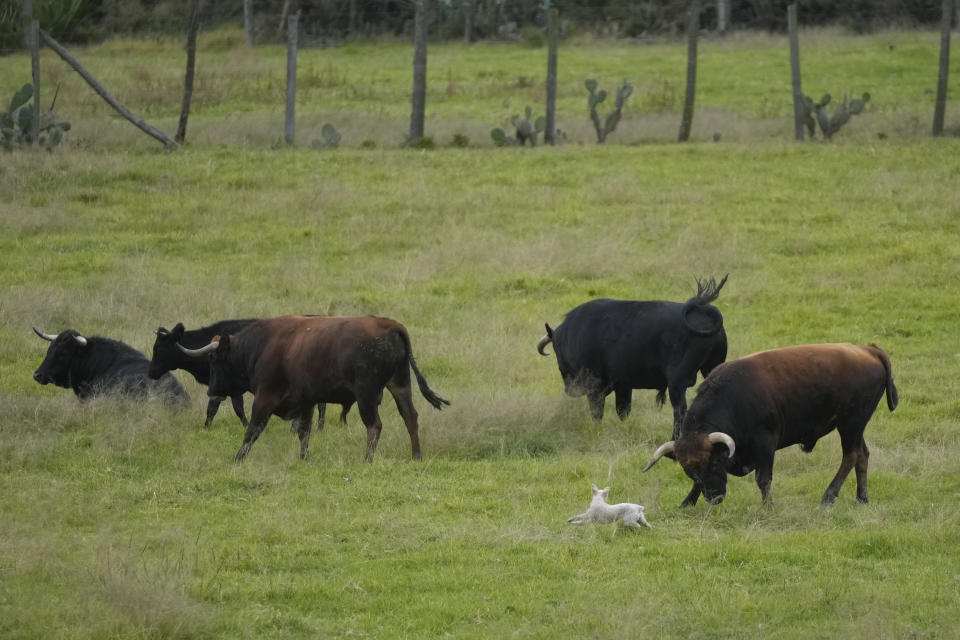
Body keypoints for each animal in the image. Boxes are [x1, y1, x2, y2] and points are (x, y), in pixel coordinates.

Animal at [180, 314, 450, 460]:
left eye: (214, 359)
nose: (211, 391)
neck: (260, 346)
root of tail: (391, 325)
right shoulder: (306, 401)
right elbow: (304, 431)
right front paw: (304, 457)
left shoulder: (265, 398)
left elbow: (253, 429)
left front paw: (238, 458)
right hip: (400, 384)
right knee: (410, 416)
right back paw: (416, 455)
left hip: (367, 394)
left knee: (374, 425)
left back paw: (367, 459)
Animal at [540, 272, 728, 438]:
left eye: (557, 349)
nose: (570, 389)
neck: (574, 333)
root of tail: (702, 308)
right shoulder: (623, 386)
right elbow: (623, 410)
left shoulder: (596, 388)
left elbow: (597, 412)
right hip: (710, 369)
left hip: (676, 382)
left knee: (680, 409)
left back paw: (675, 438)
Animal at [644, 342, 900, 508]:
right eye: (689, 472)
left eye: (715, 464)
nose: (715, 498)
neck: (733, 397)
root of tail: (869, 350)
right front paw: (687, 502)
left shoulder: (765, 443)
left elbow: (763, 478)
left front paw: (768, 507)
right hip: (854, 426)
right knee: (862, 455)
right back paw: (861, 499)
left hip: (851, 423)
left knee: (851, 456)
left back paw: (828, 497)